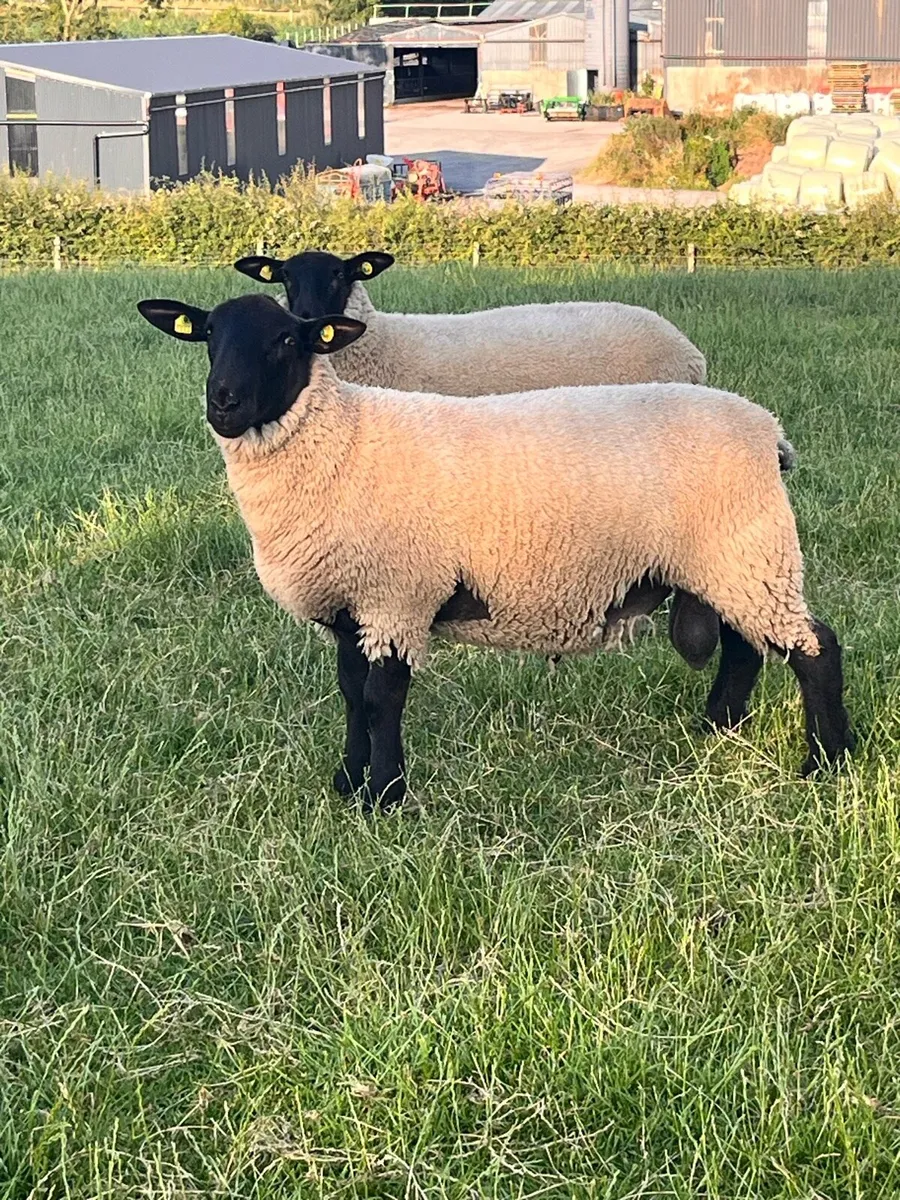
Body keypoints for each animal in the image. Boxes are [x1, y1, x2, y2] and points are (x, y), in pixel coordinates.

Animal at [136, 292, 856, 812]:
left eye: (287, 340)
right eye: (208, 336)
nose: (223, 402)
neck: (342, 442)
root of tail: (768, 431)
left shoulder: (398, 595)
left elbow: (381, 699)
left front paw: (385, 797)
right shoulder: (351, 603)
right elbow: (349, 695)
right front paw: (347, 781)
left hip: (751, 549)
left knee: (815, 649)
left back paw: (827, 762)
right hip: (726, 561)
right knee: (745, 646)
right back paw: (718, 729)